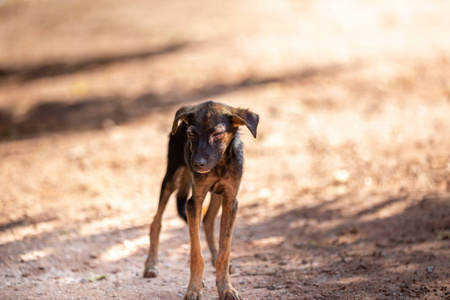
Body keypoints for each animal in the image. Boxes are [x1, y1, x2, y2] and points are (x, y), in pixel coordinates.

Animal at [142, 101, 258, 300]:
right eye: (191, 134)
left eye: (217, 134)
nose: (197, 164)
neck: (219, 165)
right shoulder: (194, 202)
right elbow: (196, 254)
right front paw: (194, 288)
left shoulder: (230, 200)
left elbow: (225, 250)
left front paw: (226, 287)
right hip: (171, 177)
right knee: (156, 221)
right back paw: (151, 264)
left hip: (217, 194)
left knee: (208, 221)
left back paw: (215, 259)